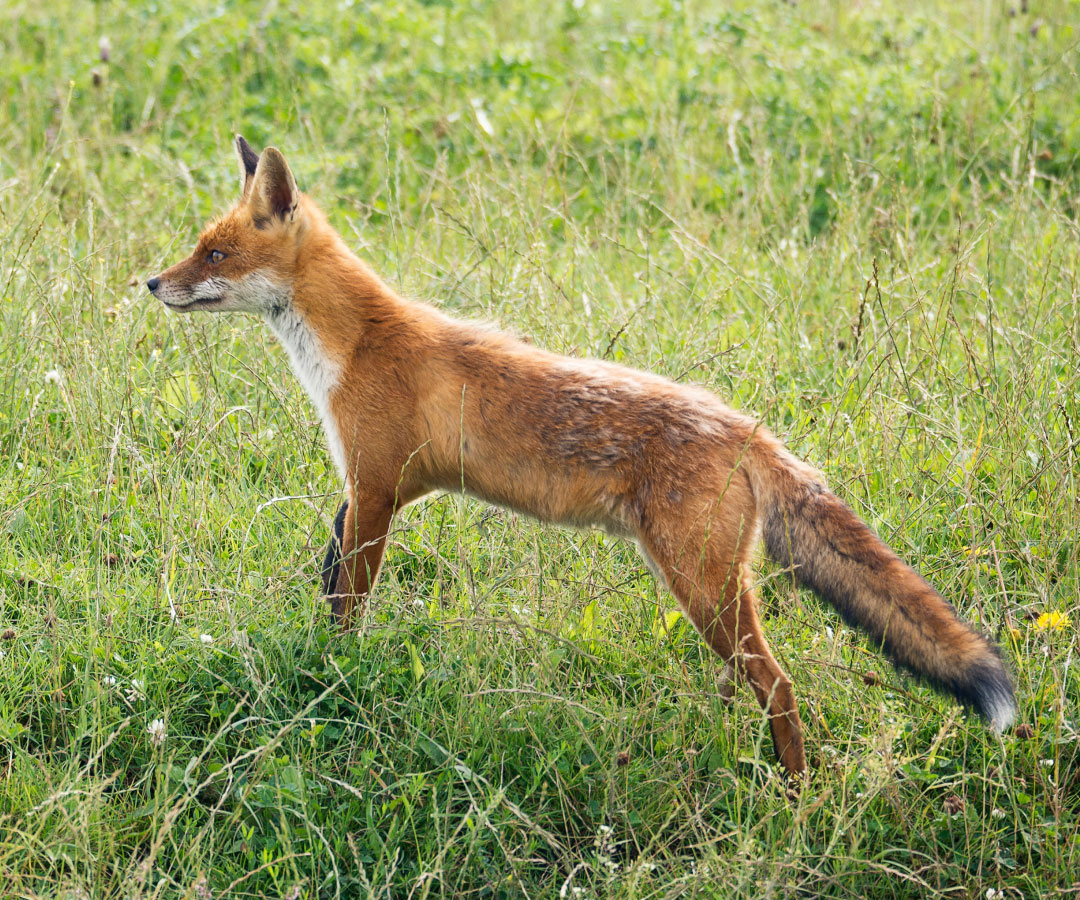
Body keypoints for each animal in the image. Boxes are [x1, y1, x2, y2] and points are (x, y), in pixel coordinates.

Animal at [147, 136, 1016, 776]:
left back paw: (796, 798)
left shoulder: (378, 487)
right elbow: (328, 581)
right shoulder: (367, 490)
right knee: (747, 681)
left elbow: (347, 607)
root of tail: (747, 427)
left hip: (700, 584)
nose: (152, 282)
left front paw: (334, 677)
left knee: (780, 685)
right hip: (712, 593)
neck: (354, 345)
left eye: (215, 255)